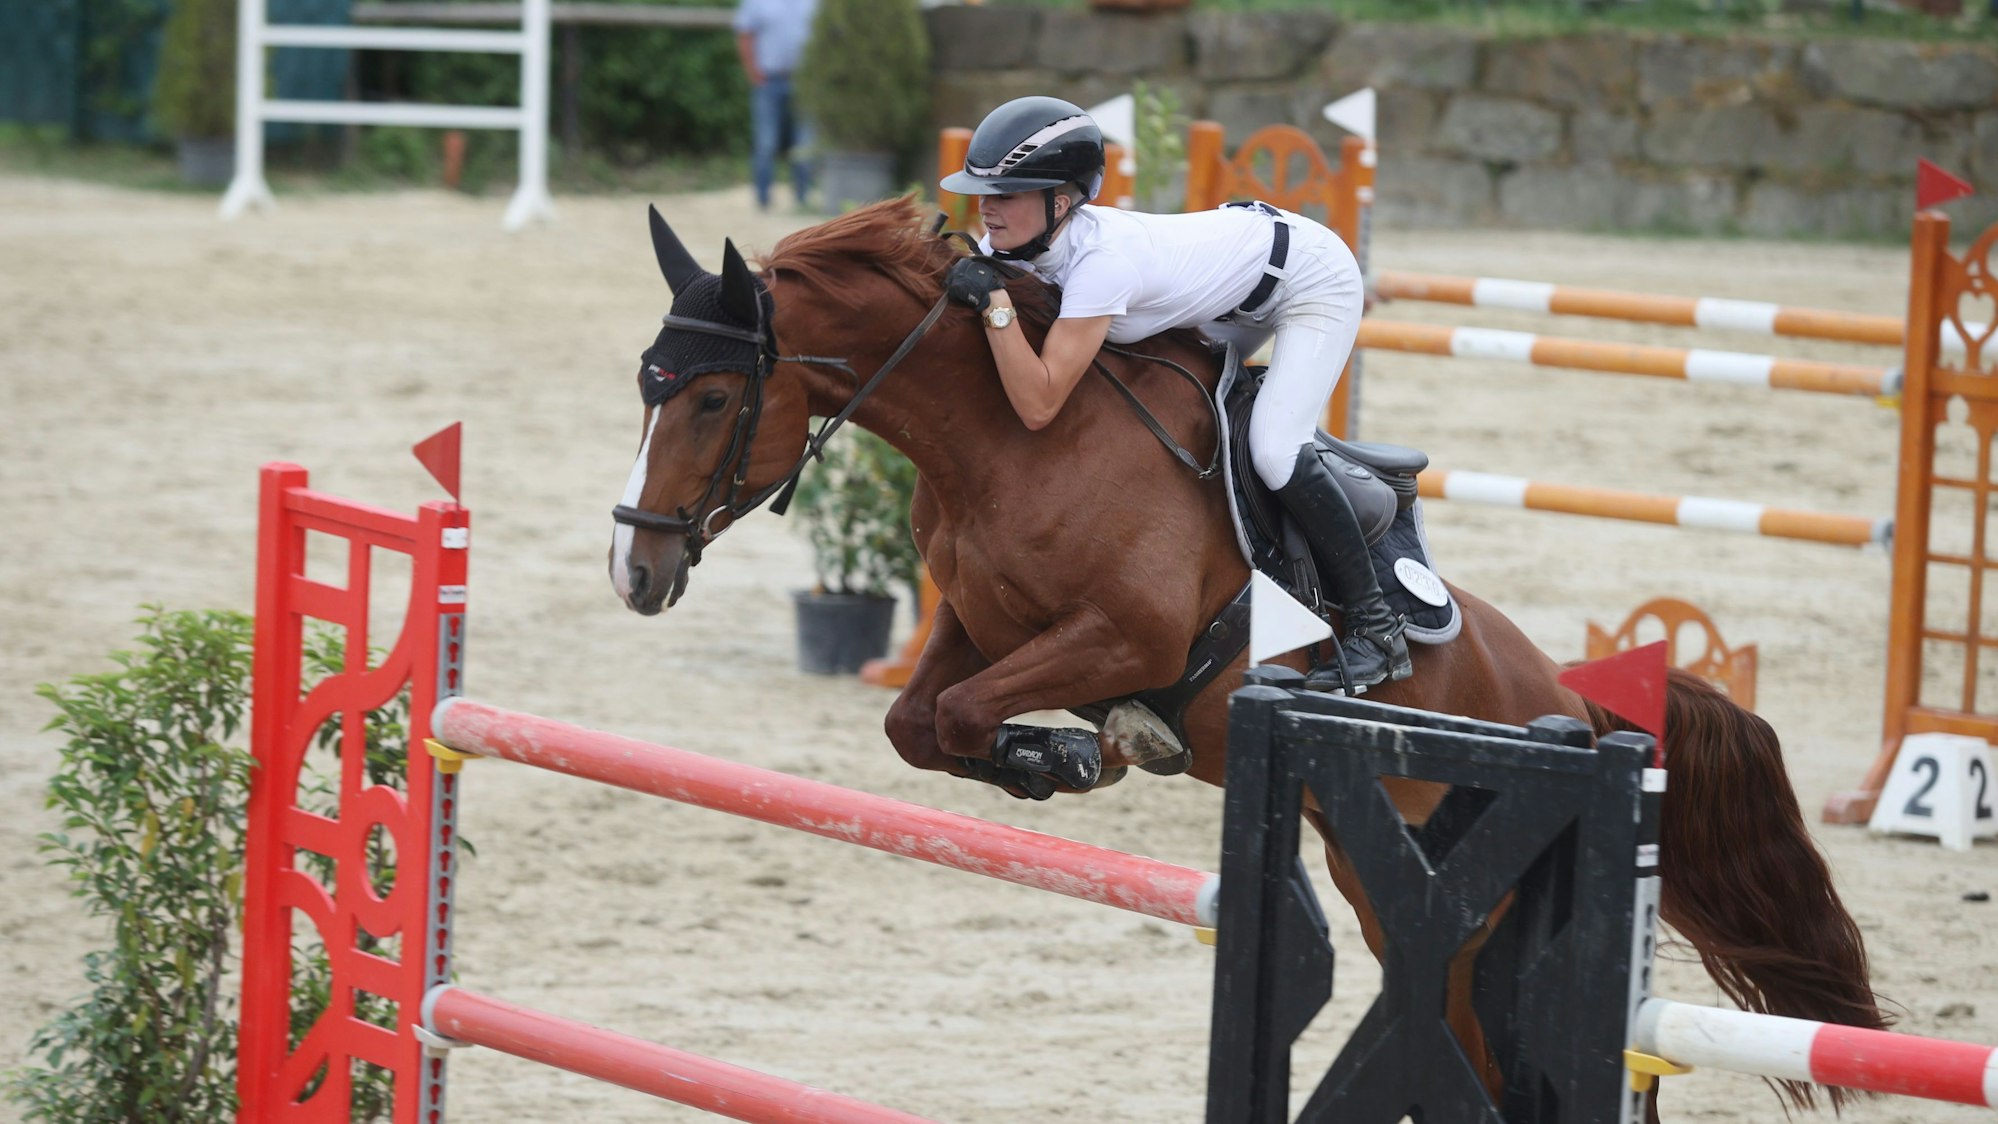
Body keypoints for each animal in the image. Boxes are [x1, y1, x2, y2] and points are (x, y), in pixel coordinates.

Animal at [606, 196, 1886, 1117]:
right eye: (647, 386)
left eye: (713, 396)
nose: (635, 570)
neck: (1011, 437)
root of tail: (1569, 698)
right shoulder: (974, 625)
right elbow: (922, 720)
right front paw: (1050, 755)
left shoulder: (1123, 634)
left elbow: (972, 712)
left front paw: (1086, 750)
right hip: (1397, 888)